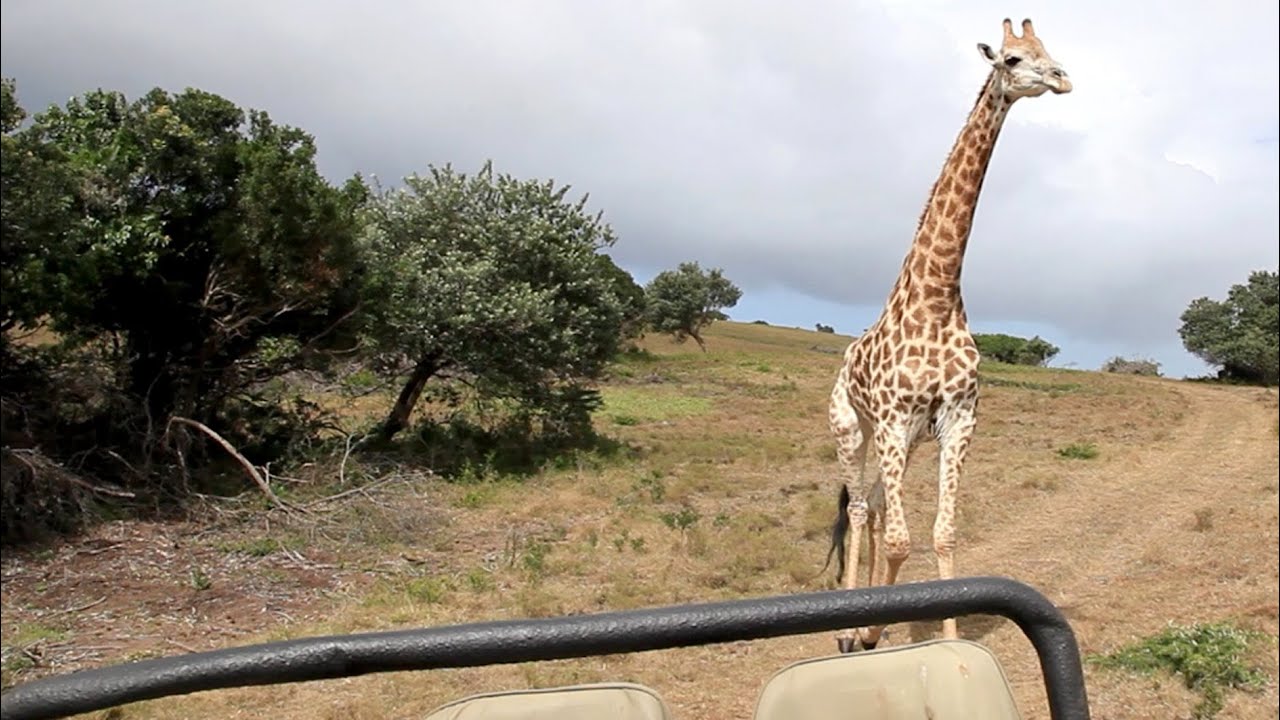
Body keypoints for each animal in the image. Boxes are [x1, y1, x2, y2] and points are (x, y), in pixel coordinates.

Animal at [824, 18, 1064, 650]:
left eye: (1049, 51)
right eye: (1012, 58)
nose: (1062, 78)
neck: (936, 299)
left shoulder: (957, 421)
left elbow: (943, 533)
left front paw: (941, 641)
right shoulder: (891, 418)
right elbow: (903, 539)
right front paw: (867, 631)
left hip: (904, 441)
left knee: (875, 506)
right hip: (853, 428)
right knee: (859, 510)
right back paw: (847, 630)